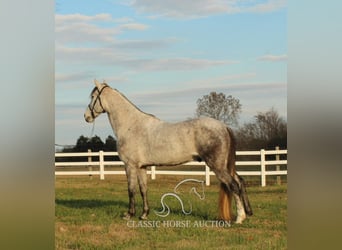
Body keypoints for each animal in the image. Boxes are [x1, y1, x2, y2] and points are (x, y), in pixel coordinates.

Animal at [84, 80, 252, 225]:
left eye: (92, 97)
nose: (86, 116)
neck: (131, 125)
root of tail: (224, 127)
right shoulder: (142, 167)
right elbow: (143, 189)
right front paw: (144, 214)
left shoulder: (130, 166)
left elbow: (131, 190)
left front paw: (129, 214)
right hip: (225, 165)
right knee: (240, 181)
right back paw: (248, 212)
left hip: (217, 166)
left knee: (233, 185)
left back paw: (239, 218)